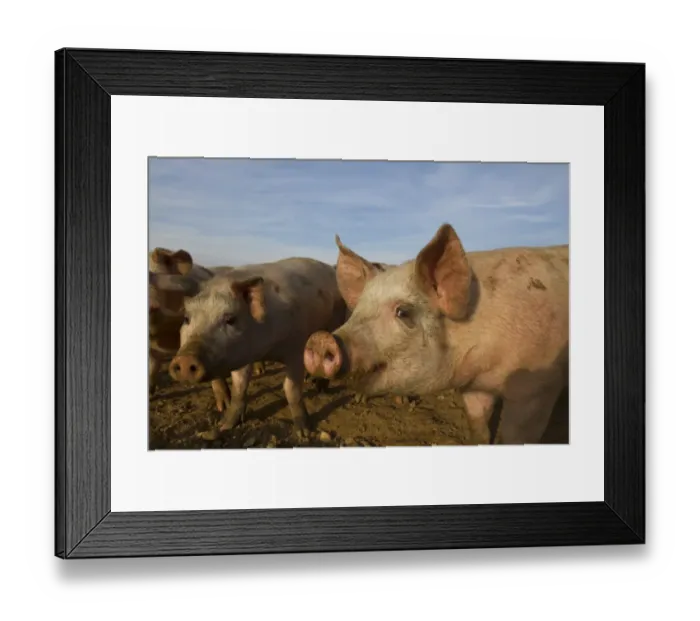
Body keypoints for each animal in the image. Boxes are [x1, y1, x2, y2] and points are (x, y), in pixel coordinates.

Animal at [167, 257, 348, 438]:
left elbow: (291, 389)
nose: (185, 359)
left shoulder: (296, 348)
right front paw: (224, 426)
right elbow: (239, 386)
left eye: (230, 319)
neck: (267, 349)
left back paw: (320, 388)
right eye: (186, 318)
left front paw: (303, 433)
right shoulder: (241, 353)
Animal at [303, 224, 569, 445]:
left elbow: (515, 437)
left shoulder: (538, 387)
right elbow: (478, 428)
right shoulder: (474, 388)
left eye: (403, 312)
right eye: (357, 310)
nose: (320, 339)